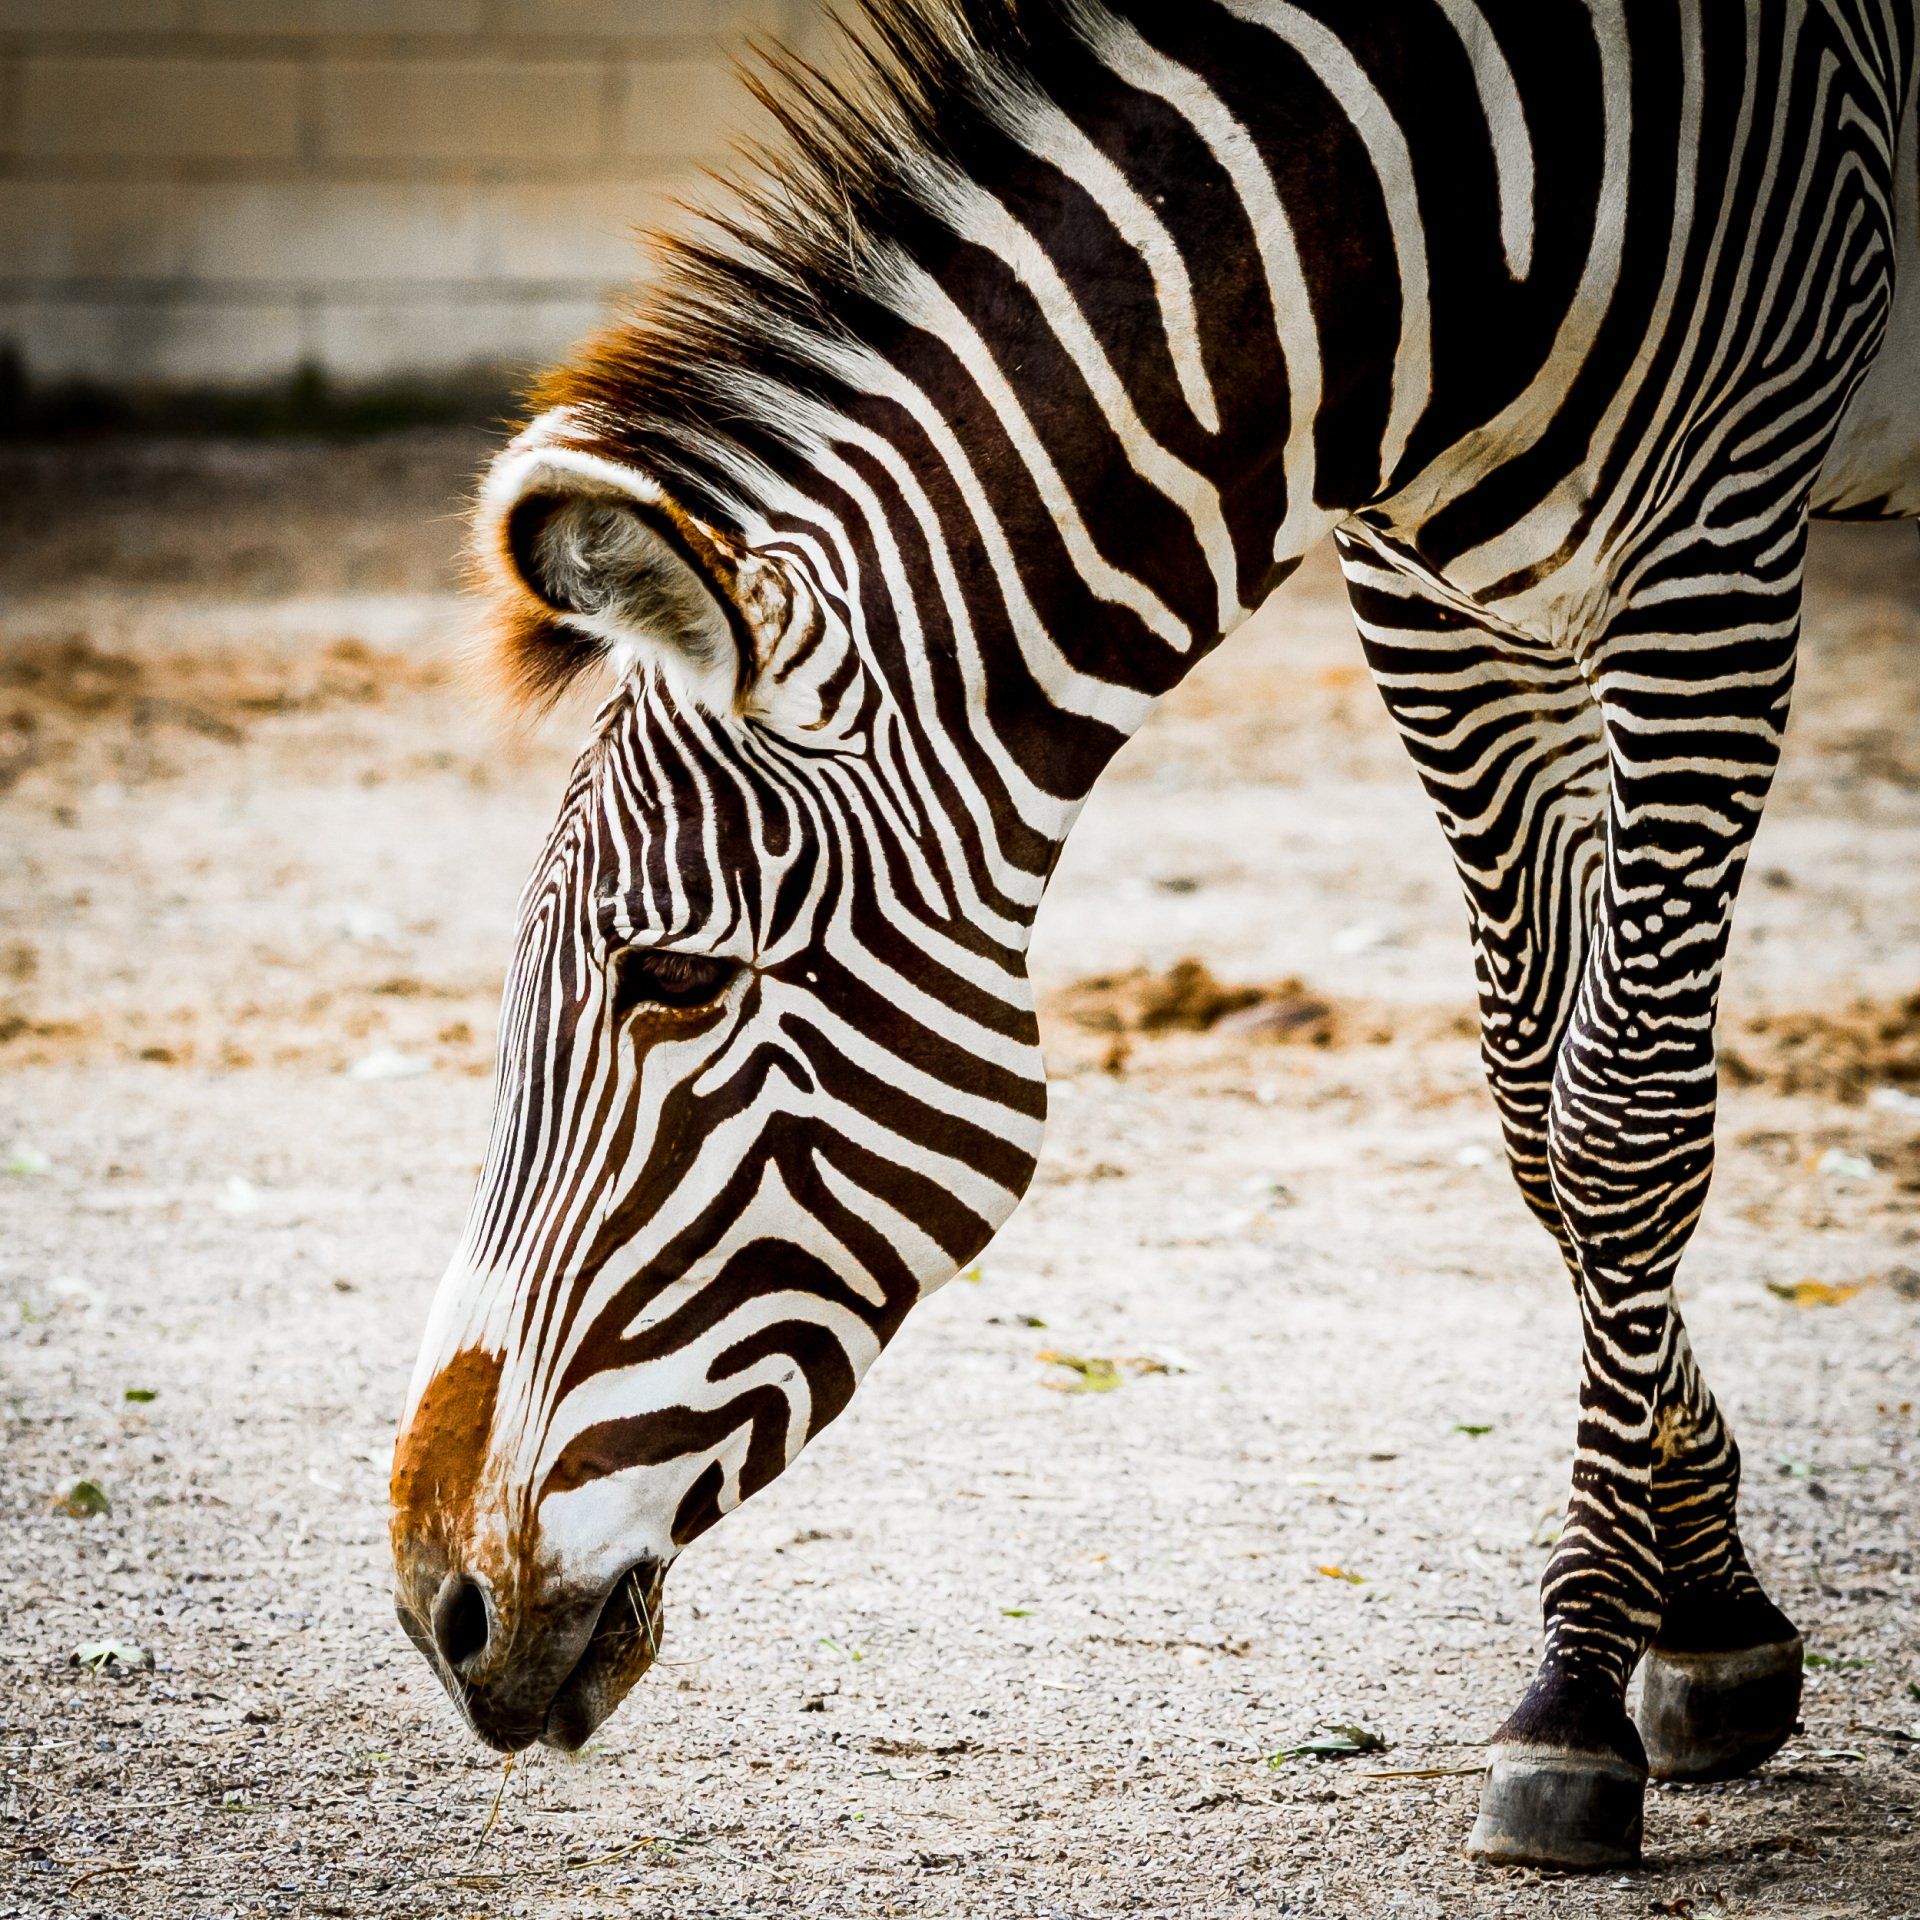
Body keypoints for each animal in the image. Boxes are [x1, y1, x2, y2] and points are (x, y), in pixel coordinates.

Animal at [388, 0, 1919, 1871]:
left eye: (671, 980)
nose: (438, 1609)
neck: (1436, 221)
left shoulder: (1713, 556)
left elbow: (1623, 1124)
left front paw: (1574, 1692)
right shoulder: (1434, 594)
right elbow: (1537, 1116)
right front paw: (1702, 1615)